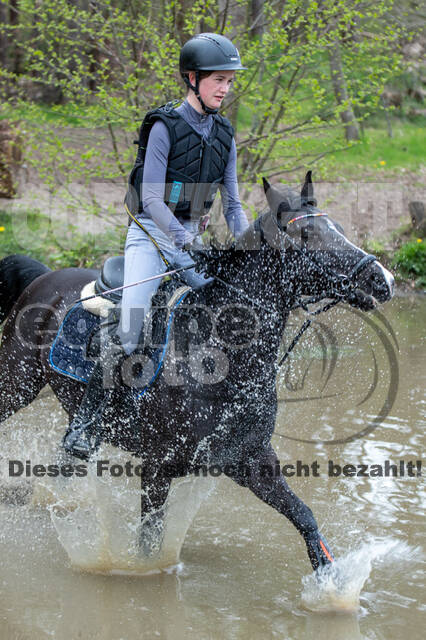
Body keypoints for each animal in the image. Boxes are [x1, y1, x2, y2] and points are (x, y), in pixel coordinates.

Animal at [0, 174, 394, 568]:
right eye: (308, 233)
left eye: (339, 226)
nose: (384, 280)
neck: (217, 356)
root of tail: (45, 276)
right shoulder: (157, 467)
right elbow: (149, 543)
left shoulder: (251, 459)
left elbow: (305, 517)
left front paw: (333, 580)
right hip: (16, 384)